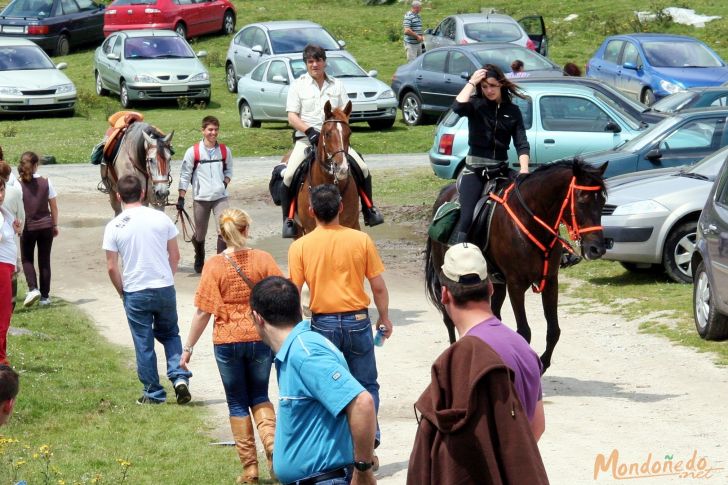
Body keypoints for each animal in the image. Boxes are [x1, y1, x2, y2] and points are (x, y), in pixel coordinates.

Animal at [426, 159, 608, 370]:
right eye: (581, 201)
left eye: (602, 202)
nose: (596, 249)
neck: (530, 221)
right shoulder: (516, 285)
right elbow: (524, 332)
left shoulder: (550, 282)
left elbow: (554, 331)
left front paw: (542, 364)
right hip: (446, 277)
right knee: (449, 319)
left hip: (496, 283)